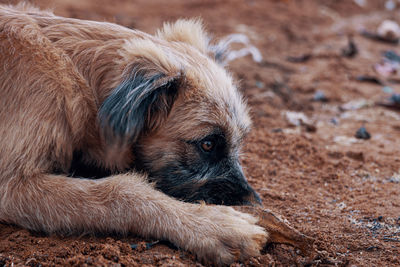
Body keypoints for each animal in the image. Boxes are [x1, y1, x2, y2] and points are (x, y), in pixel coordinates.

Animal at [0, 3, 268, 266]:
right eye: (208, 144)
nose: (254, 203)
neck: (76, 73)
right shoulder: (12, 187)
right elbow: (122, 190)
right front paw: (213, 226)